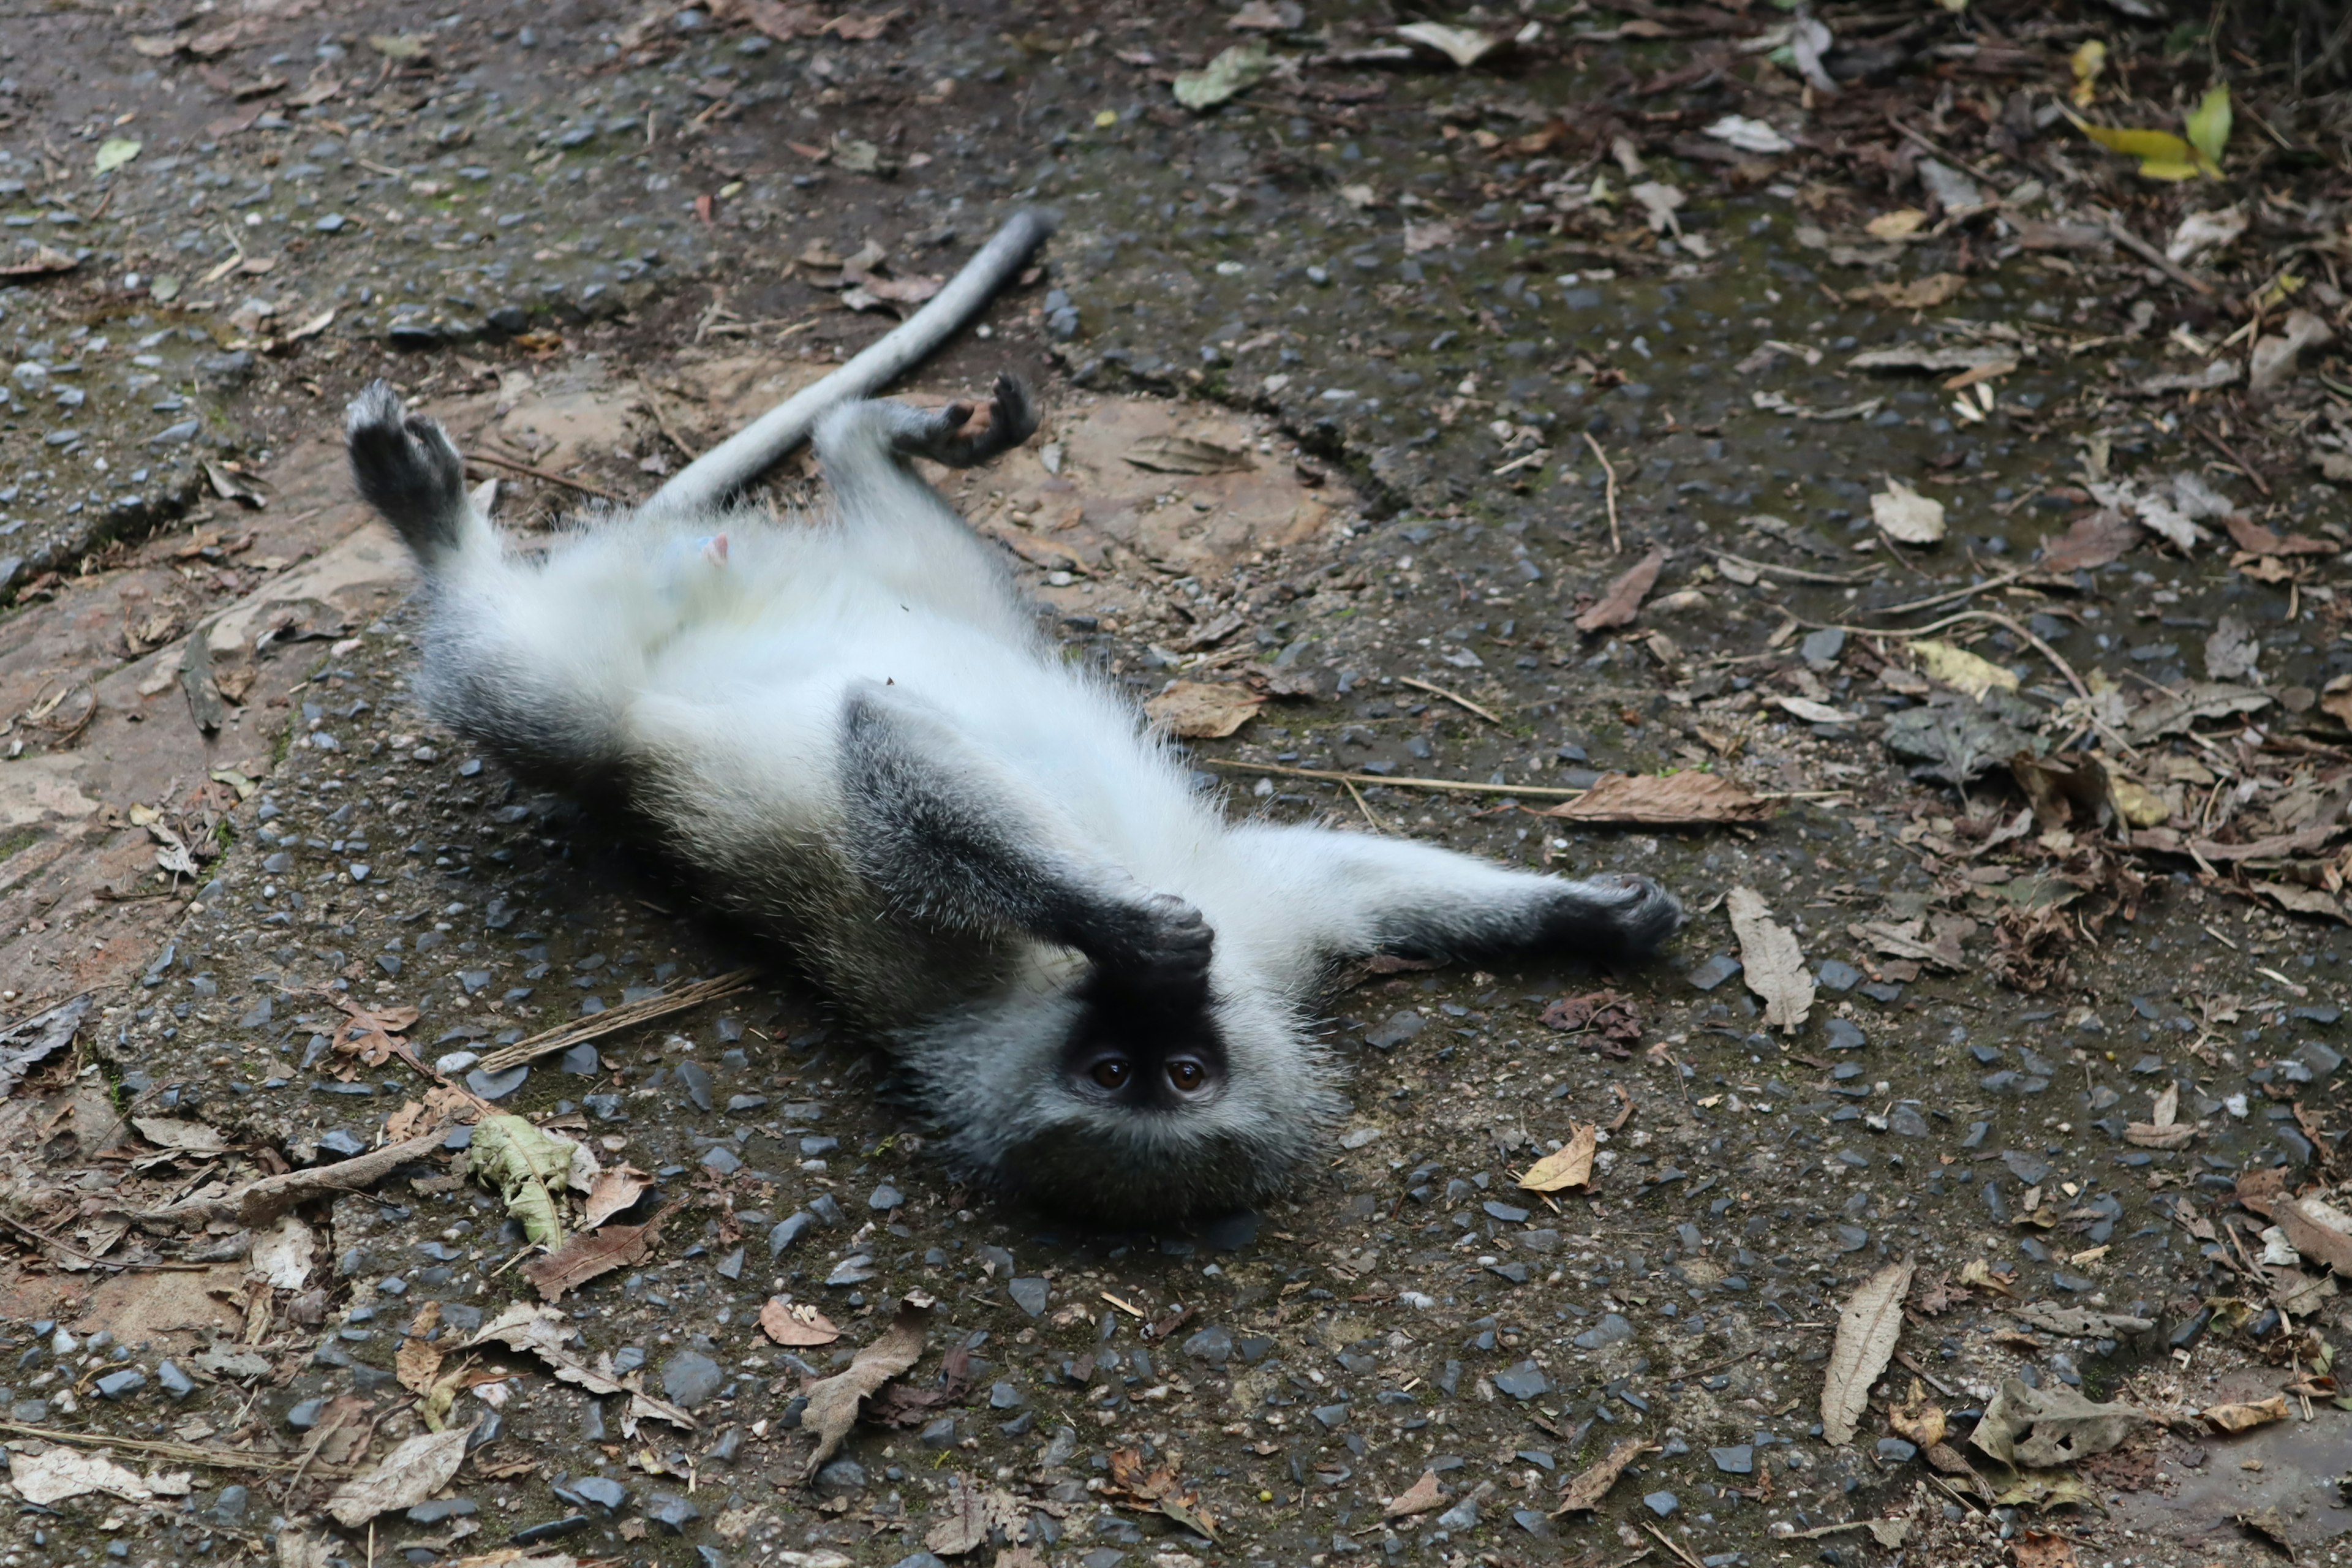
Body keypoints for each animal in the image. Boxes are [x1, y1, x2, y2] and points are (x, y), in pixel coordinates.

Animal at [343, 374, 1675, 1222]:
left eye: (1180, 1077)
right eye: (1117, 1076)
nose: (1158, 1002)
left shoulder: (1270, 949)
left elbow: (1338, 877)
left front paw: (1578, 916)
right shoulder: (976, 972)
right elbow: (880, 750)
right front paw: (1120, 919)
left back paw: (860, 436)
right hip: (603, 671)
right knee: (544, 709)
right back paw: (438, 520)